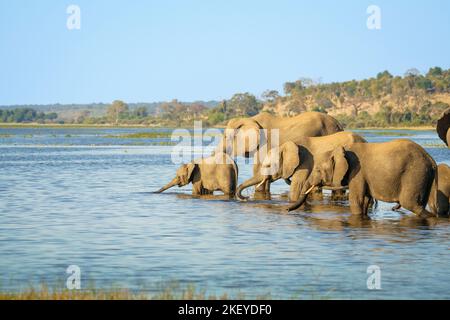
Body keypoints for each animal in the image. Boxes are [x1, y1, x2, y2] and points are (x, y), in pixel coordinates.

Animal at [286, 139, 438, 216]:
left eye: (317, 169)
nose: (287, 210)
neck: (341, 149)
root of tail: (431, 160)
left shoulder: (357, 173)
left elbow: (356, 200)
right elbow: (364, 200)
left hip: (414, 174)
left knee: (411, 204)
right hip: (423, 176)